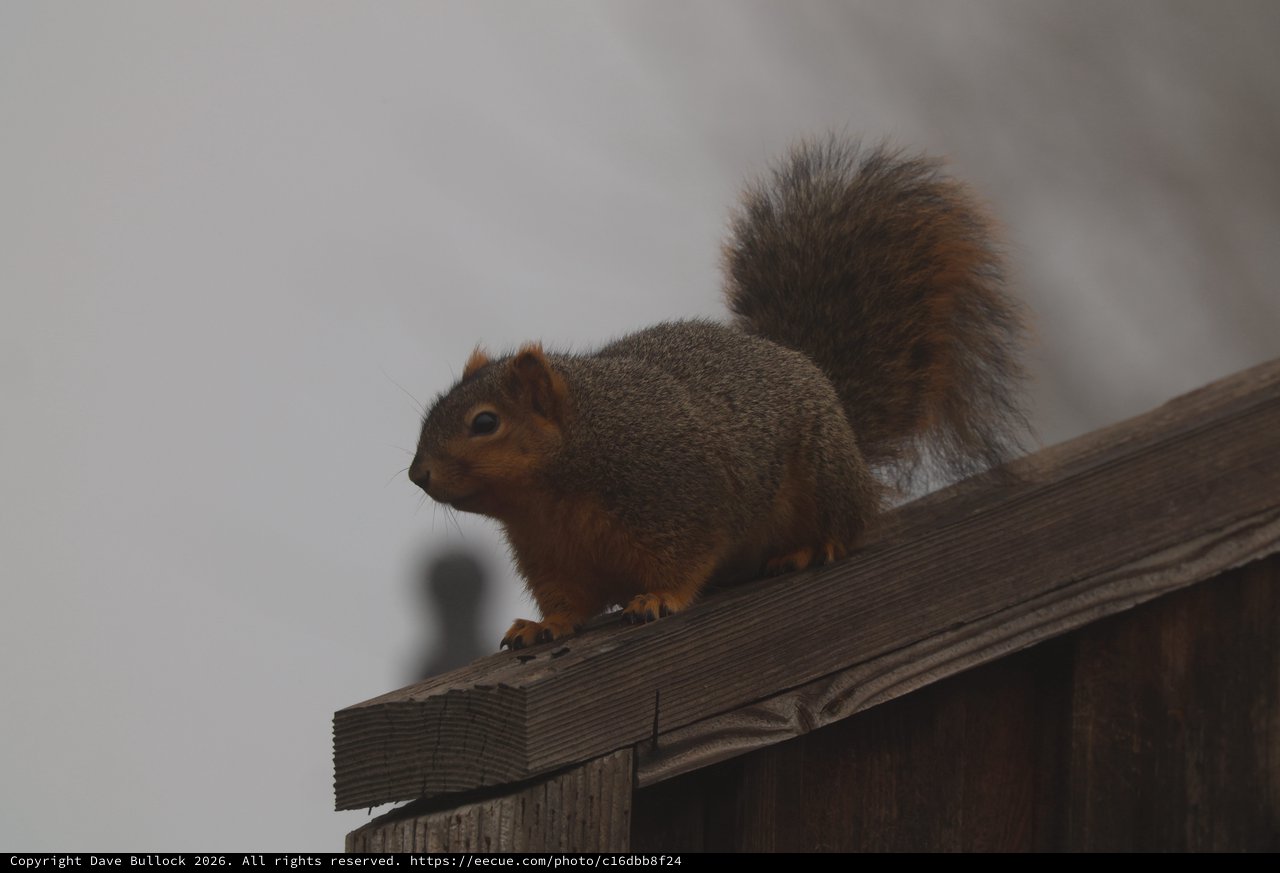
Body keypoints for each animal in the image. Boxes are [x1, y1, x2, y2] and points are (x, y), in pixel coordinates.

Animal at [409, 138, 1030, 651]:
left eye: (484, 423)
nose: (418, 474)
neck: (556, 487)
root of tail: (825, 388)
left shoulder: (682, 500)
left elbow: (685, 563)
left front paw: (658, 599)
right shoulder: (551, 555)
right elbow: (569, 601)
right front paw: (543, 626)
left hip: (824, 476)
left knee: (850, 523)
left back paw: (809, 547)